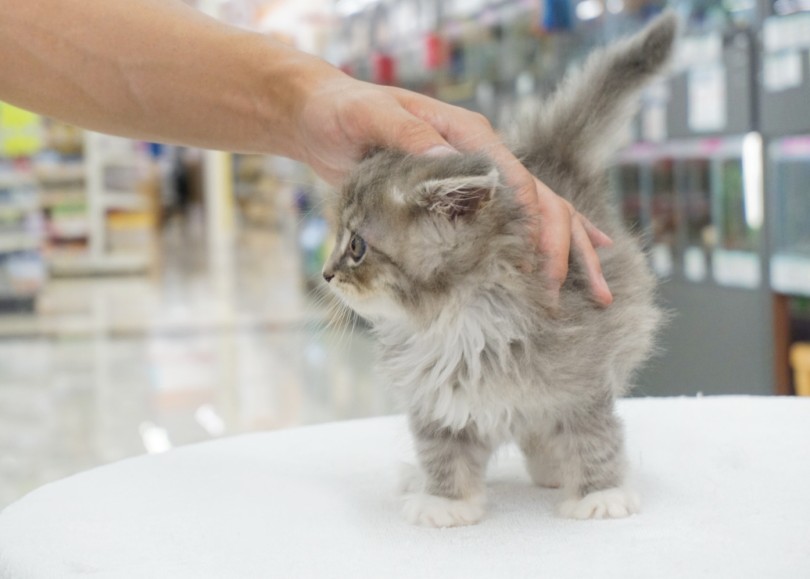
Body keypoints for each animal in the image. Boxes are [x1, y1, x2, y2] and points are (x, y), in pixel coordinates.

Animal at [322, 11, 676, 528]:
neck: (454, 319)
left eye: (356, 245)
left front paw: (600, 494)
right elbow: (441, 451)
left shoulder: (584, 378)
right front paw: (444, 501)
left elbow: (594, 438)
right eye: (337, 239)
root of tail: (550, 156)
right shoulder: (434, 400)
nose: (325, 274)